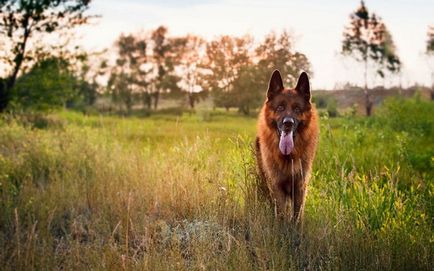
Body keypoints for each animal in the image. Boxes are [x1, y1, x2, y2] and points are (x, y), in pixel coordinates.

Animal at [254, 69, 318, 223]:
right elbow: (281, 215)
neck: (288, 157)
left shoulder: (300, 187)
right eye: (280, 107)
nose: (288, 123)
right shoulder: (277, 186)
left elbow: (297, 217)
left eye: (297, 109)